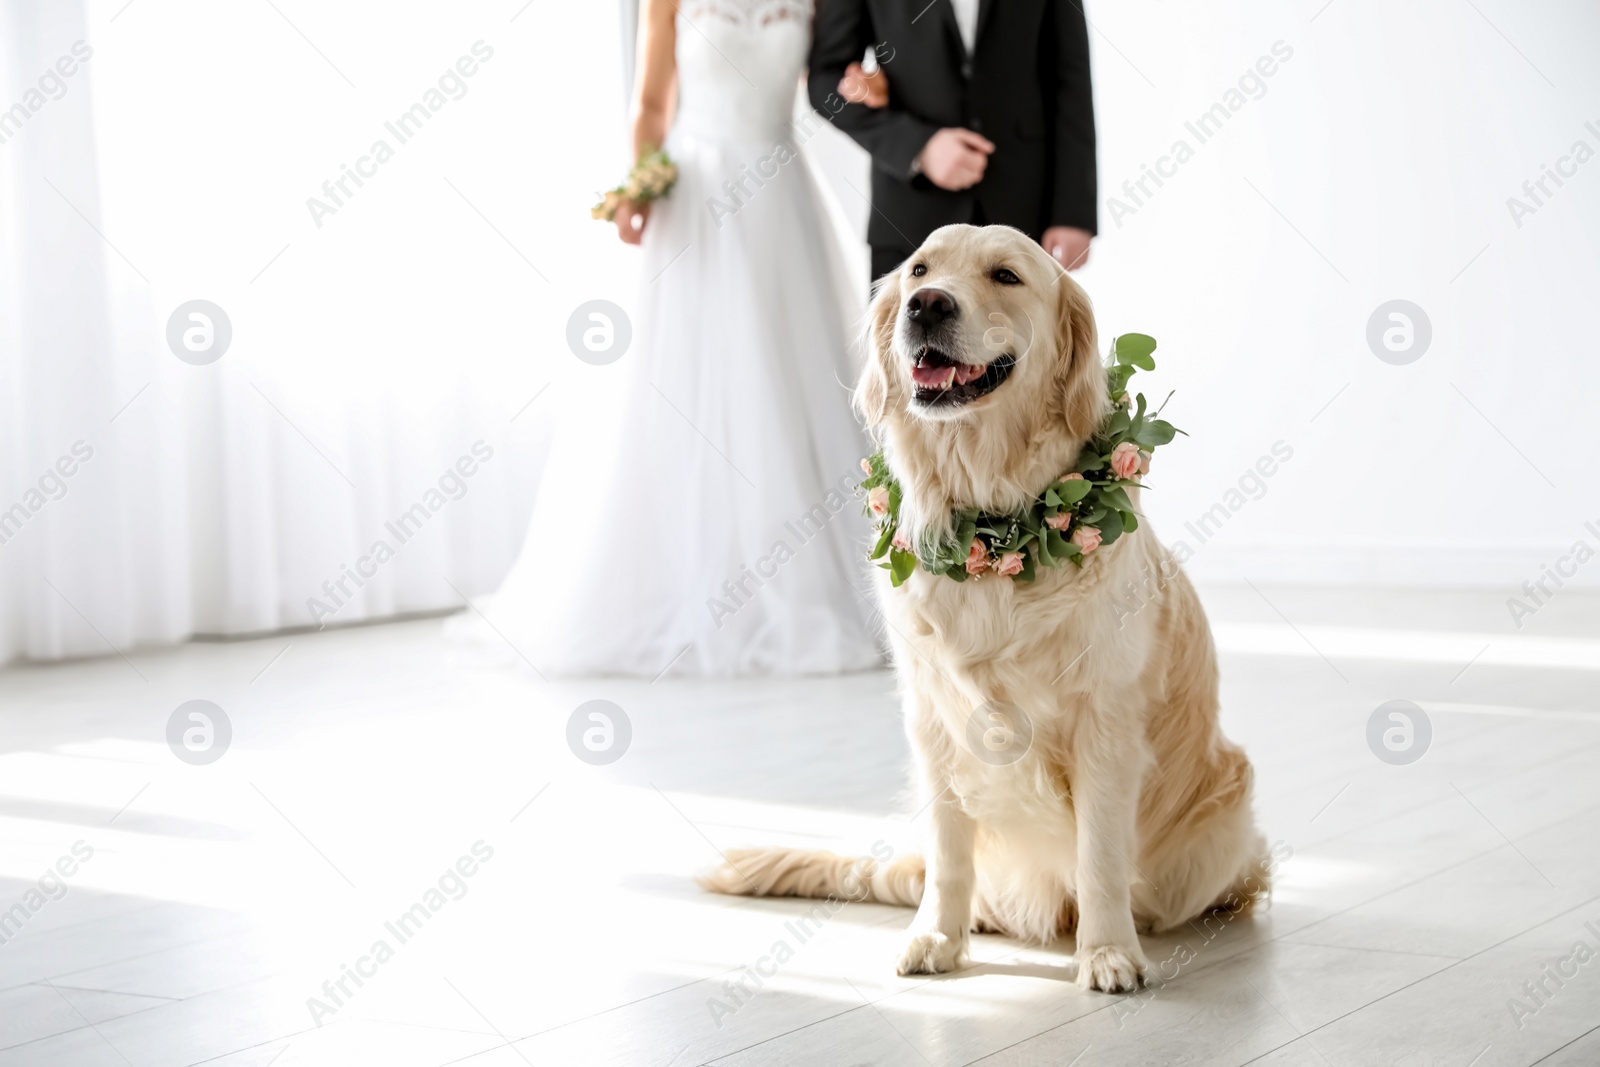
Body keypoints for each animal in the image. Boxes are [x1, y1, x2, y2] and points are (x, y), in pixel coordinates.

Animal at [700, 223, 1260, 991]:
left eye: (1006, 275)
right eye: (919, 270)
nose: (927, 306)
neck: (992, 525)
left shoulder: (1107, 721)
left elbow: (1100, 855)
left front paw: (1108, 952)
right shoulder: (934, 721)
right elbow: (948, 852)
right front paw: (937, 935)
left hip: (1220, 826)